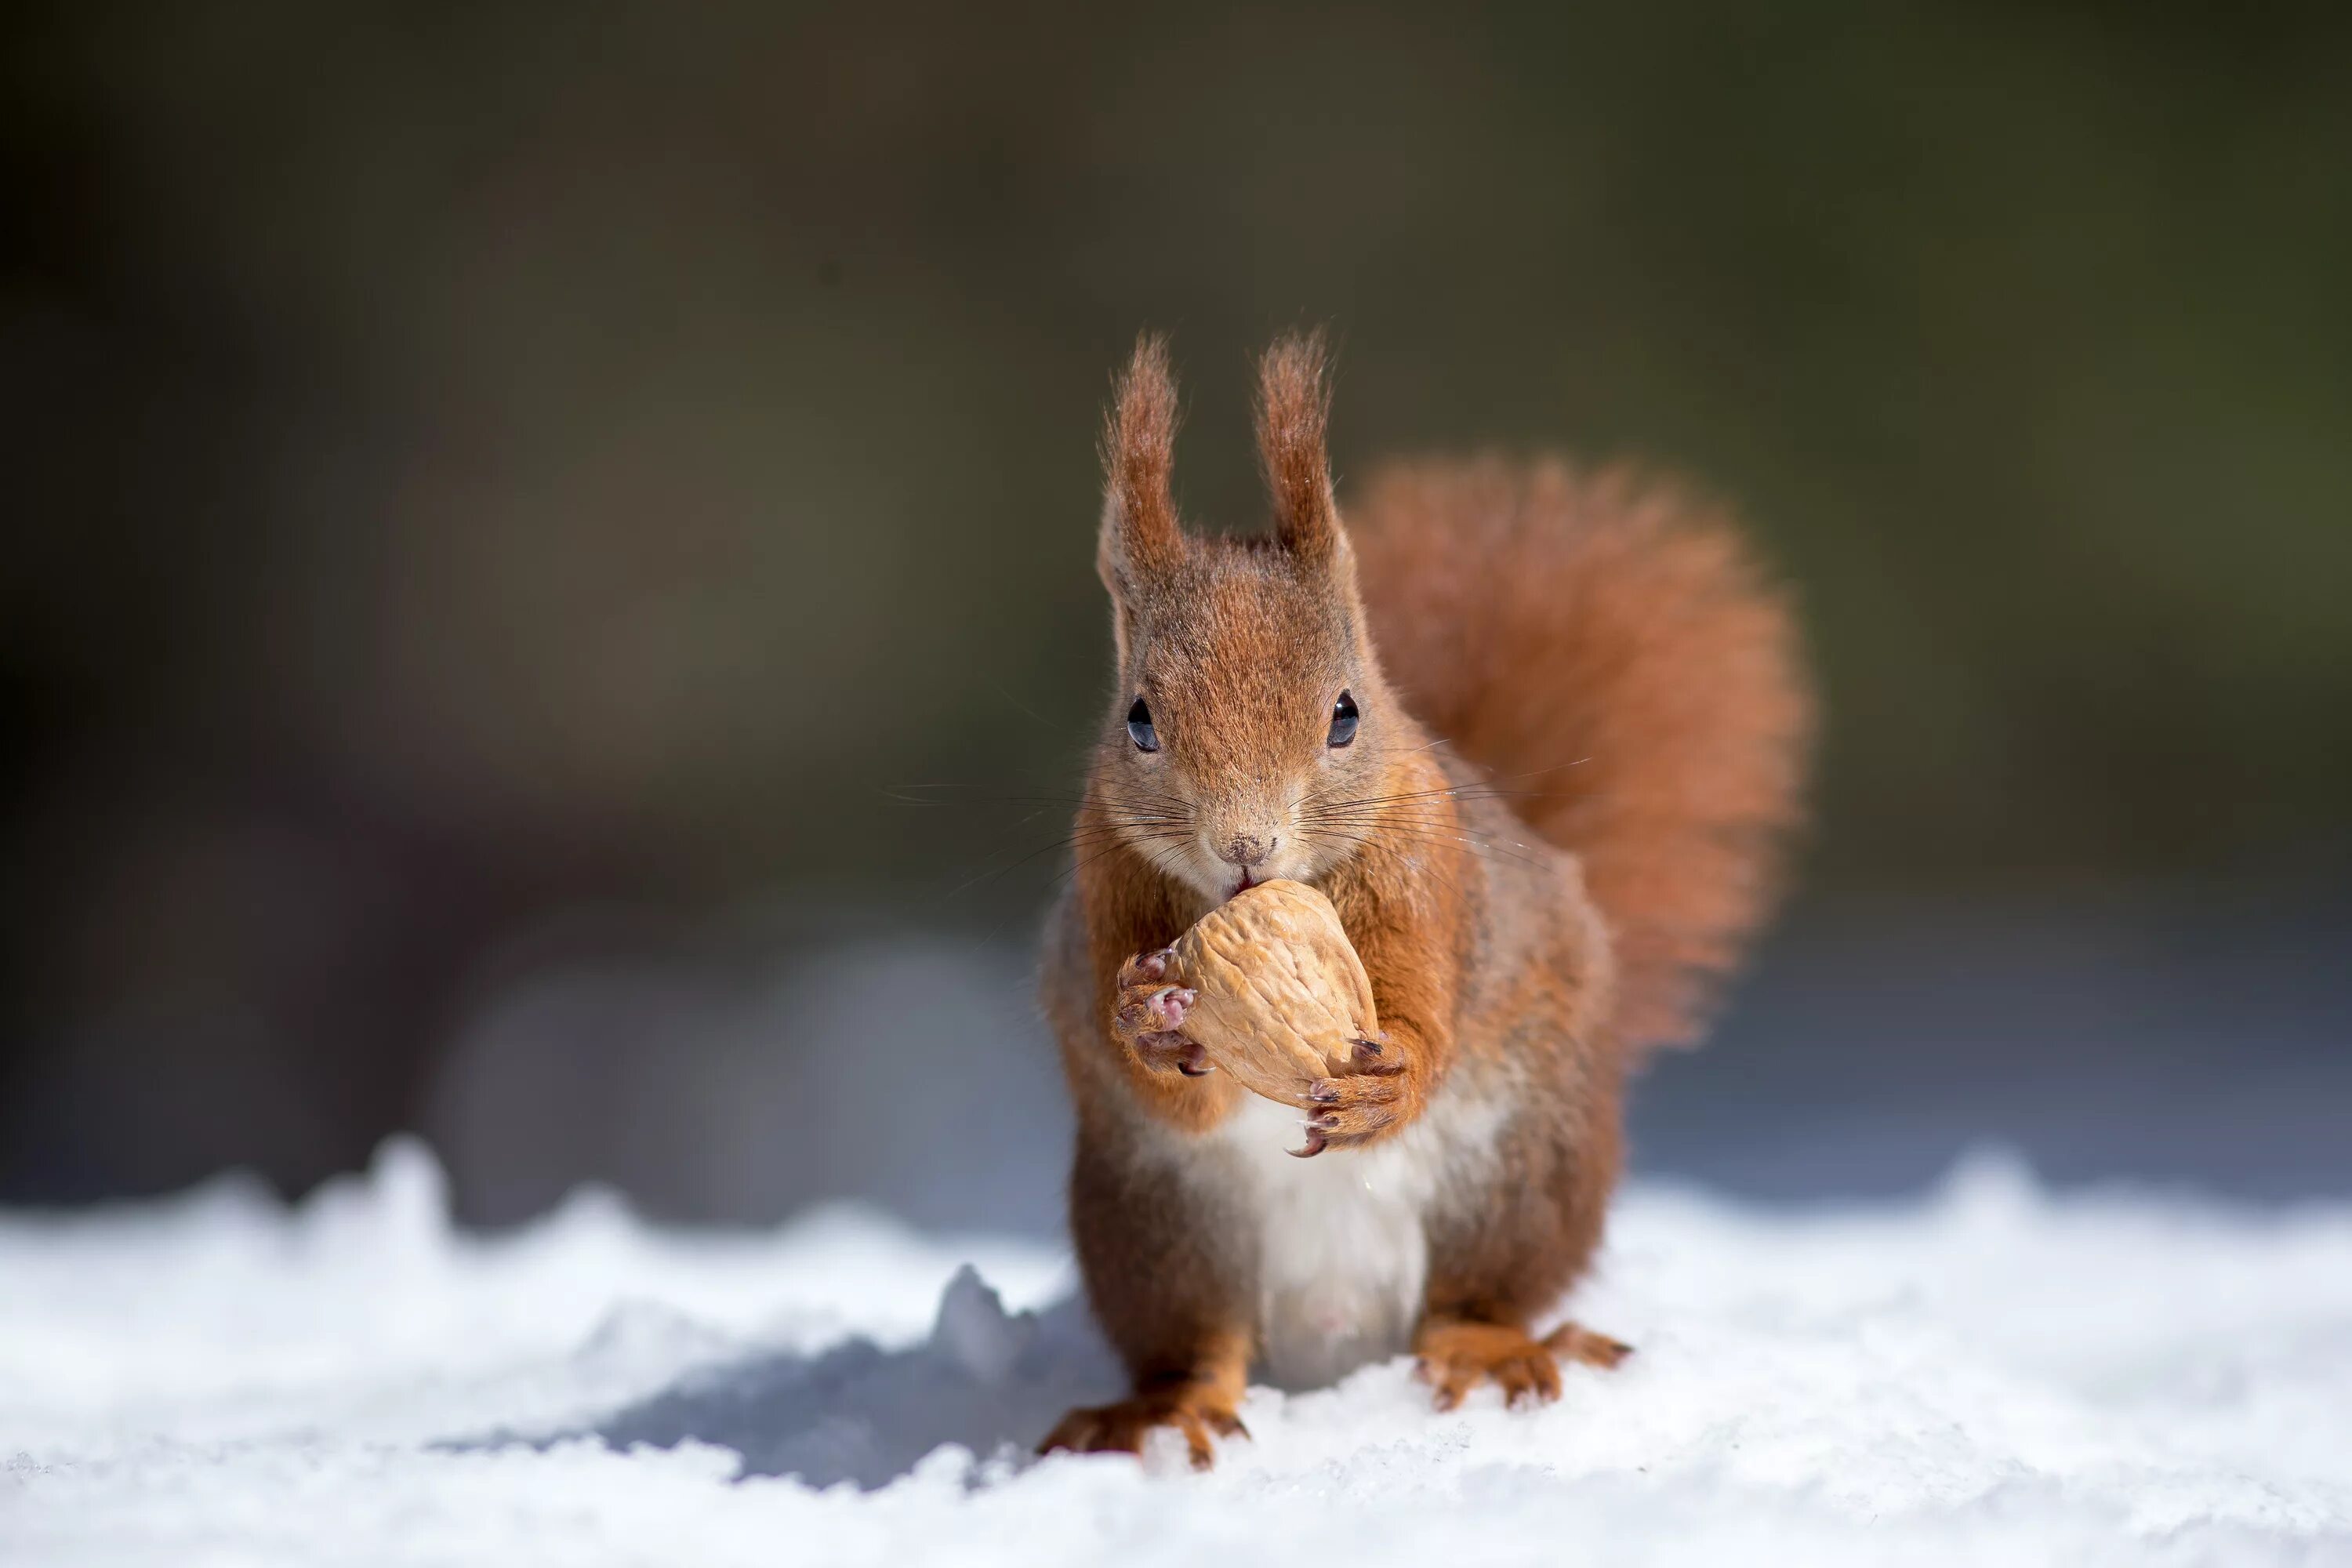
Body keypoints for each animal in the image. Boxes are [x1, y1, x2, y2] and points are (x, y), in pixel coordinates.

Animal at [1040, 338, 1806, 1467]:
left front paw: (1386, 1080)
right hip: (1157, 1230)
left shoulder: (1429, 883)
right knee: (1200, 1344)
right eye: (1139, 718)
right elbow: (1168, 1086)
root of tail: (1336, 1326)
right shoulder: (1107, 890)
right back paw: (1166, 1410)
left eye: (1346, 714)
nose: (1245, 848)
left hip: (1516, 1172)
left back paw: (1492, 1353)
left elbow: (1425, 1010)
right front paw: (1150, 1017)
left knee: (1474, 1297)